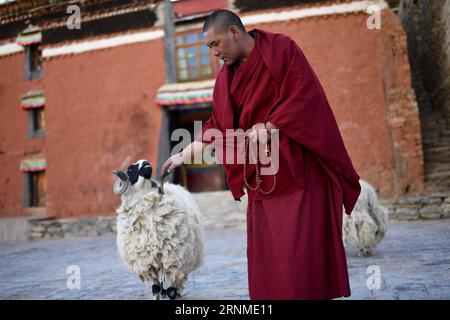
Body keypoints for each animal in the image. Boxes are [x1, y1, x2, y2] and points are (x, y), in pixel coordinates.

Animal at [112, 160, 204, 300]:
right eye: (130, 169)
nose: (146, 163)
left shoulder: (173, 262)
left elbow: (171, 290)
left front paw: (172, 294)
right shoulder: (146, 264)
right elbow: (155, 289)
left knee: (175, 284)